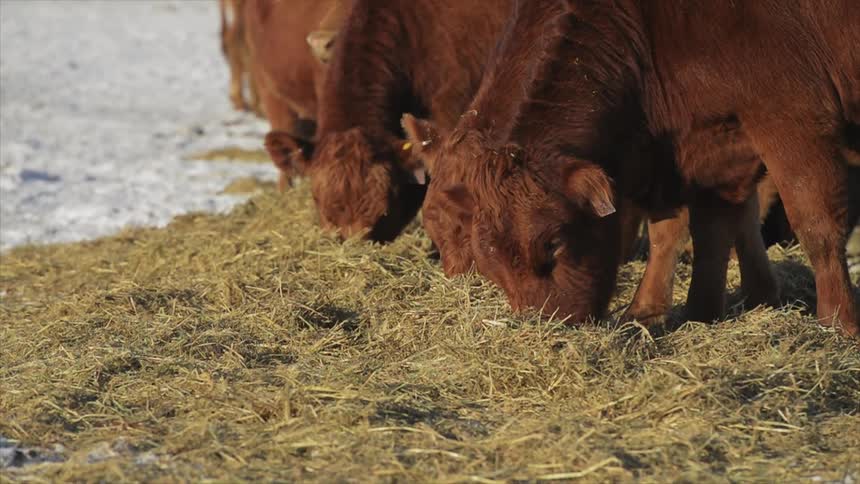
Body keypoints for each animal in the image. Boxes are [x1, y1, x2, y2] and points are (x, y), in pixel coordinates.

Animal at [406, 0, 860, 336]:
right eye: (491, 261)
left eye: (554, 244)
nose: (549, 328)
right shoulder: (707, 148)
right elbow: (694, 232)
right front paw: (688, 313)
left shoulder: (790, 119)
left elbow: (816, 226)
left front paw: (838, 322)